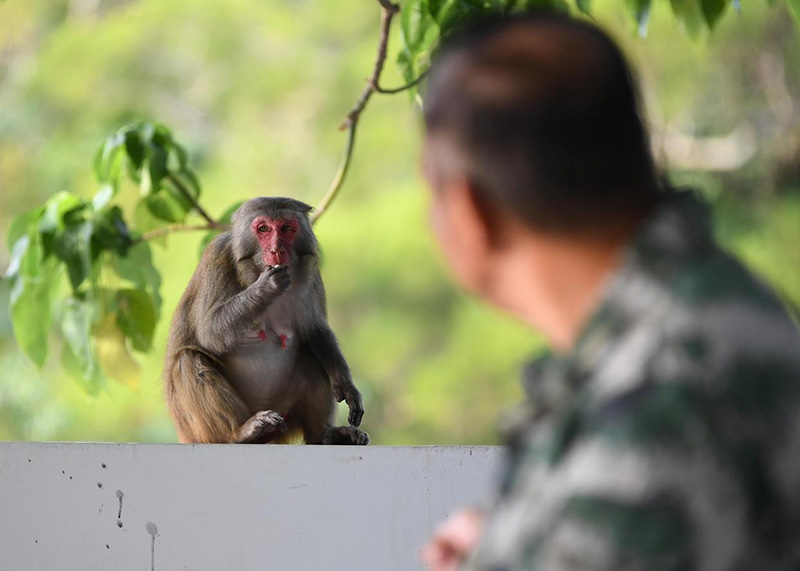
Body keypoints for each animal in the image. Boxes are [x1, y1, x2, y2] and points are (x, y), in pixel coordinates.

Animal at [166, 198, 372, 446]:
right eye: (263, 229)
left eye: (286, 228)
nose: (276, 250)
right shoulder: (217, 258)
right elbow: (208, 332)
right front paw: (265, 288)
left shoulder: (312, 272)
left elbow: (314, 331)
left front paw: (347, 386)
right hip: (199, 431)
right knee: (187, 359)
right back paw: (240, 433)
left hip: (284, 414)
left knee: (311, 359)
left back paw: (324, 434)